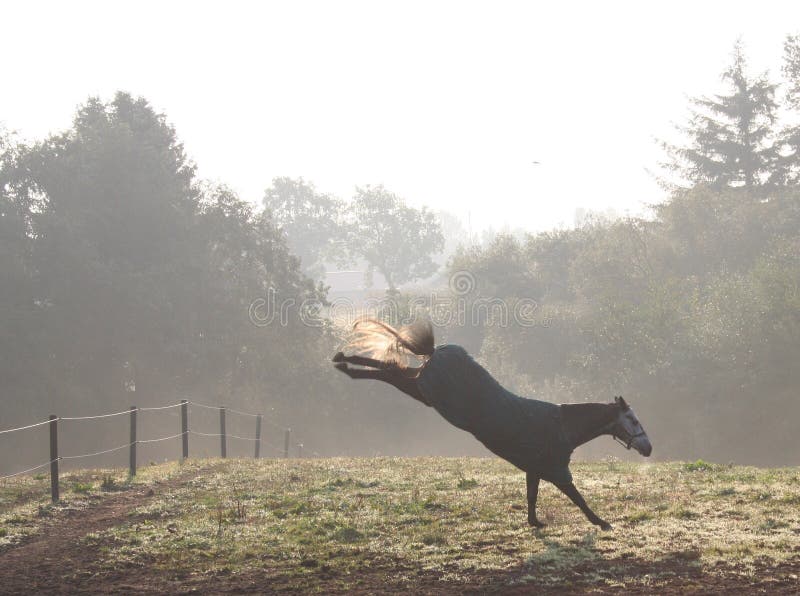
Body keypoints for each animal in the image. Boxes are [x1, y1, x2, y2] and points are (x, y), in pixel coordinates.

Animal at [333, 318, 652, 530]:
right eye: (633, 419)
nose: (648, 448)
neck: (562, 427)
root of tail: (438, 353)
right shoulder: (556, 470)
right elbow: (578, 498)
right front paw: (601, 522)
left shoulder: (534, 469)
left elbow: (532, 496)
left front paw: (534, 522)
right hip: (425, 391)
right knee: (390, 372)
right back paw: (345, 363)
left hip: (422, 388)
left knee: (394, 369)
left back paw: (343, 360)